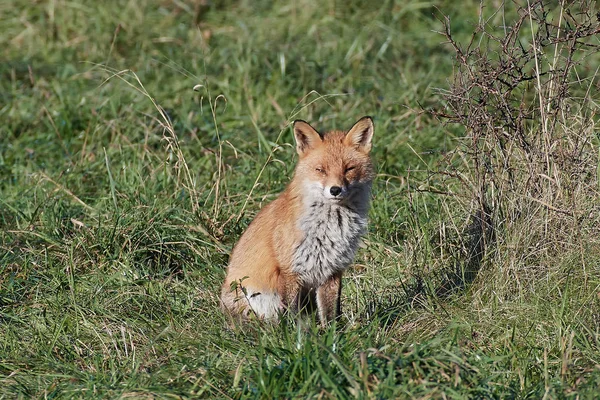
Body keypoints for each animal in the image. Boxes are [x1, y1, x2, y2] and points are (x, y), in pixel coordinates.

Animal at [220, 115, 376, 324]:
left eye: (349, 169)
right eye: (321, 170)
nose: (335, 190)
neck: (331, 227)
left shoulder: (332, 271)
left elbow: (330, 315)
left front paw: (332, 332)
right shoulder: (290, 271)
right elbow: (292, 316)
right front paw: (294, 333)